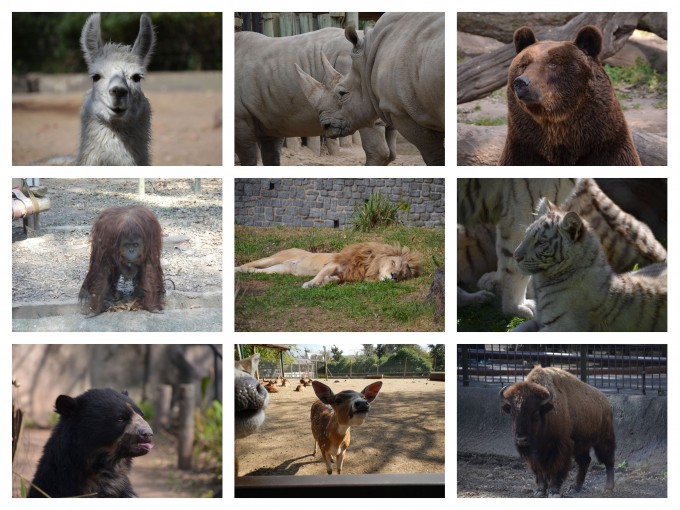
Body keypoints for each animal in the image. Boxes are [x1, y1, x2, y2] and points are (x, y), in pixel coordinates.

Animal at [500, 364, 616, 496]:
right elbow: (539, 471)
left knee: (609, 459)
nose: (521, 439)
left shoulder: (560, 446)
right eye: (512, 413)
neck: (546, 412)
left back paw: (608, 487)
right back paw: (575, 487)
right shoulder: (535, 453)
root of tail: (605, 402)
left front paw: (553, 491)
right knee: (585, 461)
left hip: (603, 440)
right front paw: (540, 491)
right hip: (581, 445)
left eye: (535, 413)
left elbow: (556, 468)